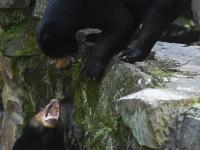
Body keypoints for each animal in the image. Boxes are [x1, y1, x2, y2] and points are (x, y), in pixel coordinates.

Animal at [36, 0, 189, 79]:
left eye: (55, 53)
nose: (60, 67)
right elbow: (128, 23)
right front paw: (95, 37)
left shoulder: (99, 4)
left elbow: (122, 22)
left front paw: (89, 71)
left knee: (154, 20)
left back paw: (130, 55)